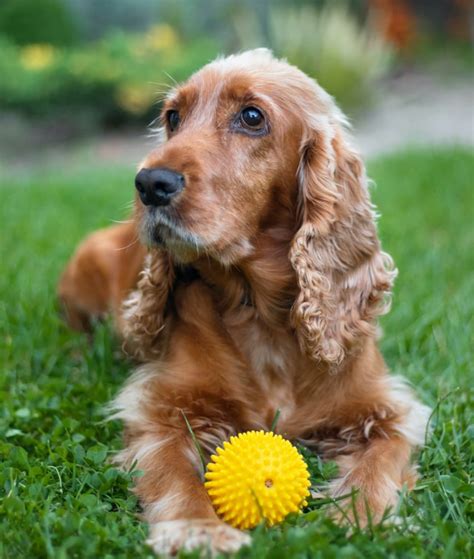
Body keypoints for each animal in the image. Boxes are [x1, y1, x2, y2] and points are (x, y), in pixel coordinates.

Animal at [58, 51, 430, 556]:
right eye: (172, 117)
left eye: (252, 117)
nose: (149, 183)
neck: (259, 310)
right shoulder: (159, 406)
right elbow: (174, 472)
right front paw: (198, 528)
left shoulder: (387, 407)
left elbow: (381, 461)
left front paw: (361, 518)